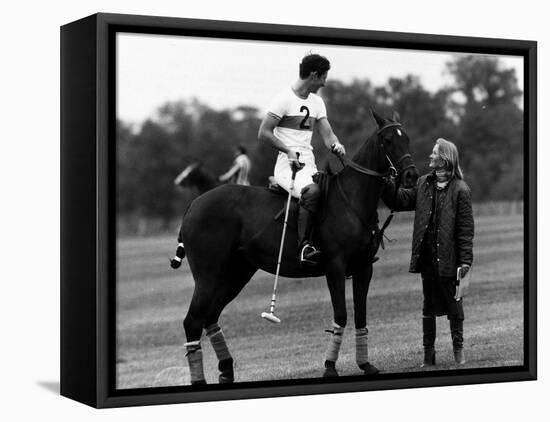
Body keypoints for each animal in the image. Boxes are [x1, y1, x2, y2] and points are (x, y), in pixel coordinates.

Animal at [175, 110, 420, 384]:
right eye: (387, 140)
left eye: (406, 138)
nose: (411, 175)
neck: (352, 200)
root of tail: (194, 204)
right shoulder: (335, 266)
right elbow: (341, 315)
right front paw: (329, 367)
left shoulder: (364, 267)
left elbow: (361, 315)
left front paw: (366, 365)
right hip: (208, 275)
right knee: (192, 321)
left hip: (236, 274)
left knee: (209, 316)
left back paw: (226, 371)